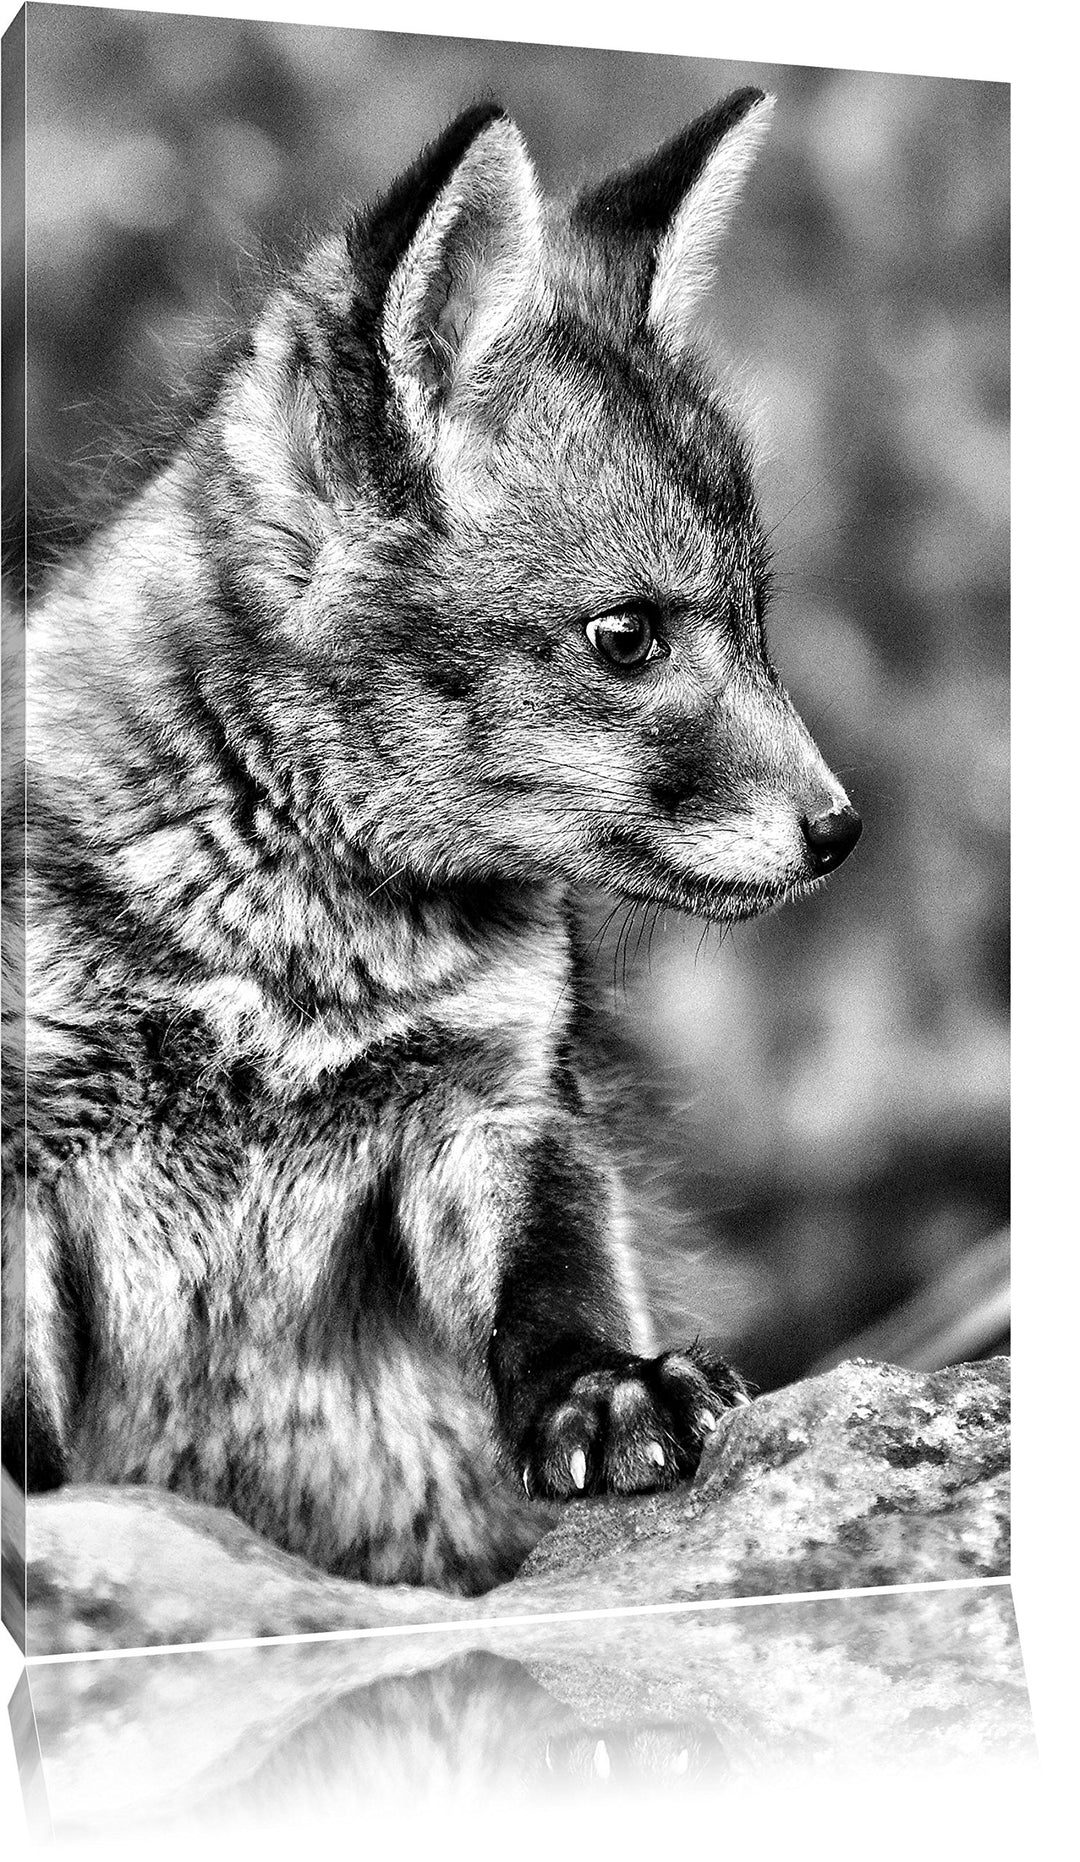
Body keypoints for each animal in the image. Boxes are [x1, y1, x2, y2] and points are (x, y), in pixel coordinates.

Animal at [2, 87, 861, 1597]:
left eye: (759, 623)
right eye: (628, 636)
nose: (840, 830)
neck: (287, 967)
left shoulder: (500, 1109)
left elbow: (558, 1284)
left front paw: (607, 1389)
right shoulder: (20, 1145)